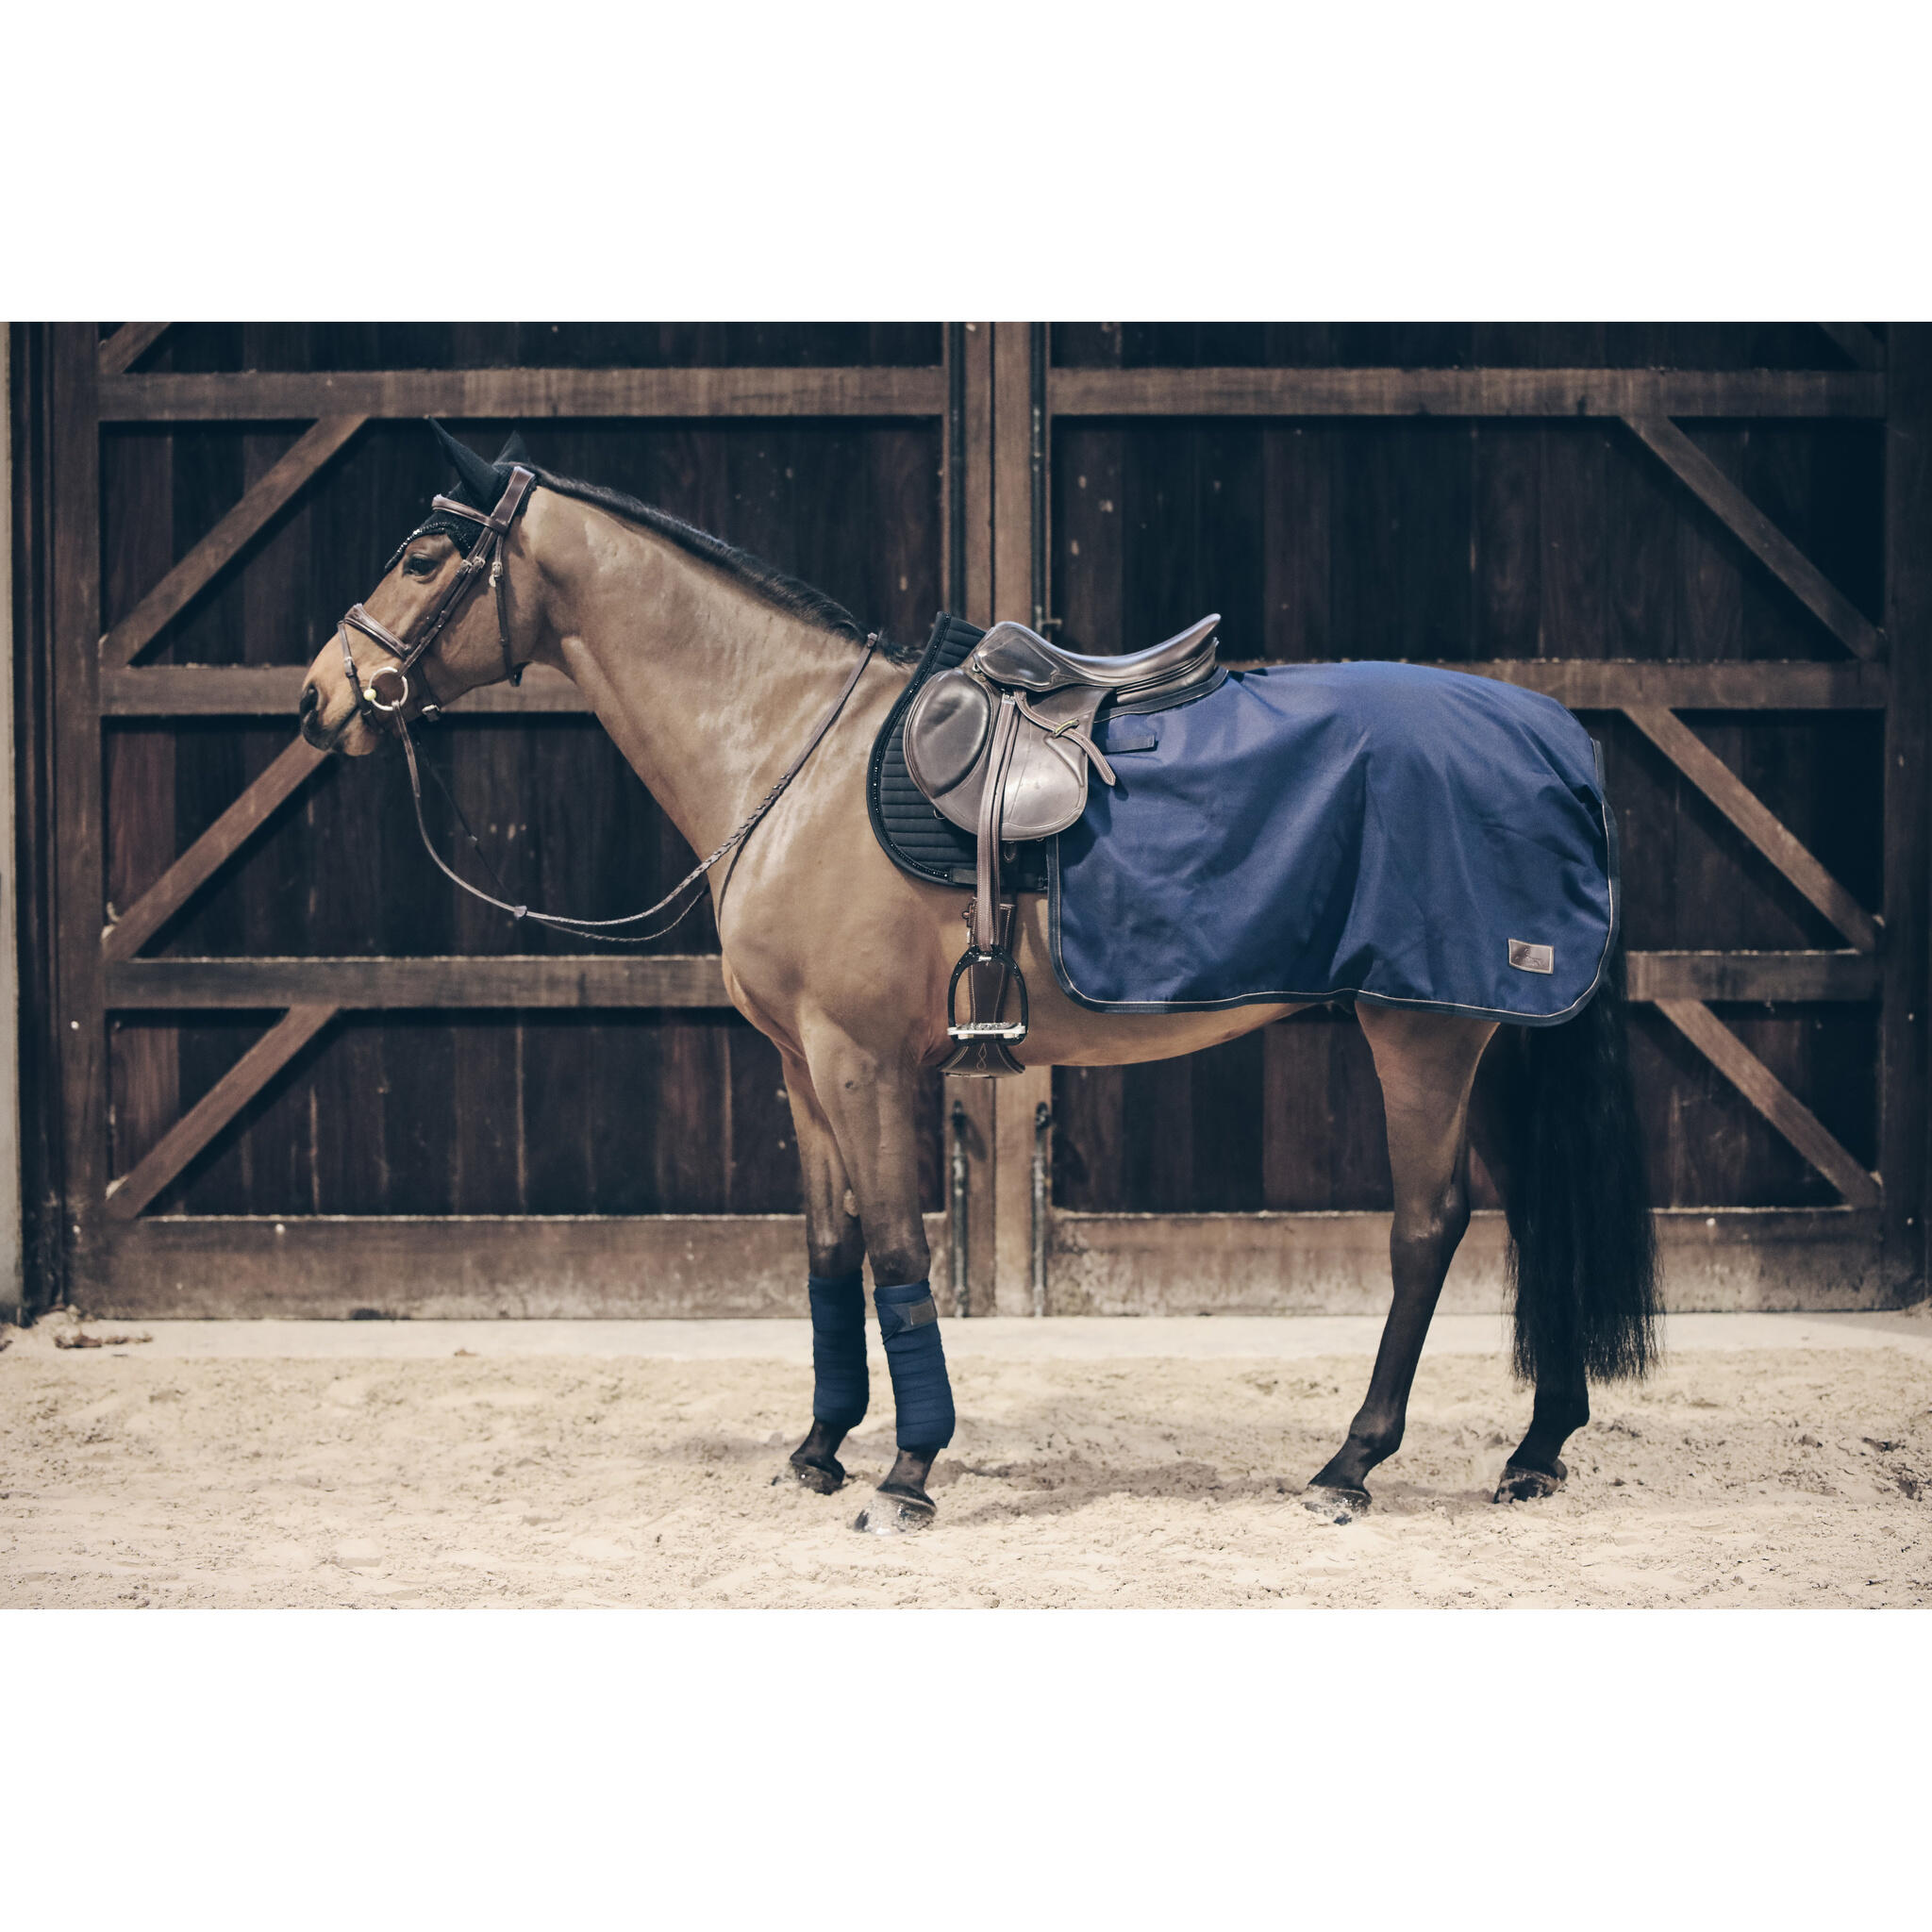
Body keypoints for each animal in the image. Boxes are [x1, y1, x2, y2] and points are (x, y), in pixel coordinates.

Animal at [300, 424, 1659, 1535]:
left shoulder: (860, 1060)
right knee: (1536, 1210)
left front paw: (906, 1472)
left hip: (1419, 1036)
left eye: (423, 556)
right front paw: (820, 1446)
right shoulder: (800, 1066)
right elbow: (832, 1247)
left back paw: (1350, 1464)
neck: (789, 749)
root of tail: (1549, 735)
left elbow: (900, 1250)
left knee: (1429, 1225)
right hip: (1489, 1036)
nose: (320, 698)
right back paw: (1536, 1448)